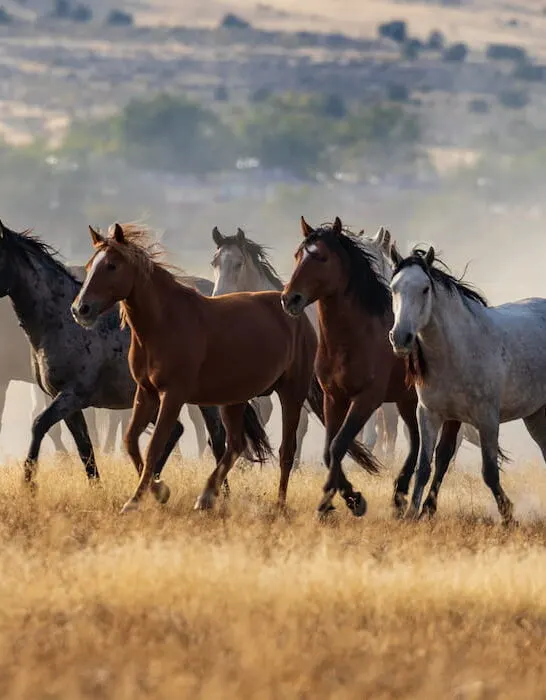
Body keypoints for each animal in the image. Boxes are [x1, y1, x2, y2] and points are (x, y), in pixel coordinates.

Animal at [0, 220, 226, 493]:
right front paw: (96, 489)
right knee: (176, 432)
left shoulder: (71, 396)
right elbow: (84, 448)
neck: (60, 322)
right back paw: (151, 483)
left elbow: (39, 426)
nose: (80, 310)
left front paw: (28, 485)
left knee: (216, 438)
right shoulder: (66, 401)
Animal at [72, 222, 378, 513]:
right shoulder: (145, 393)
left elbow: (154, 446)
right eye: (89, 266)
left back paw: (280, 504)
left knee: (286, 450)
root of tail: (296, 313)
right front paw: (158, 491)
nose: (80, 309)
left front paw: (135, 500)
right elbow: (131, 441)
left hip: (291, 392)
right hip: (234, 399)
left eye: (111, 266)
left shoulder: (172, 396)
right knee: (236, 445)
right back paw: (207, 496)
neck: (163, 322)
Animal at [388, 244, 546, 525]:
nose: (400, 337)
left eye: (425, 289)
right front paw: (413, 513)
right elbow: (426, 466)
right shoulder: (430, 414)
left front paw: (509, 516)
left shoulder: (487, 419)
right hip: (535, 415)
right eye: (393, 288)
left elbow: (489, 471)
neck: (458, 349)